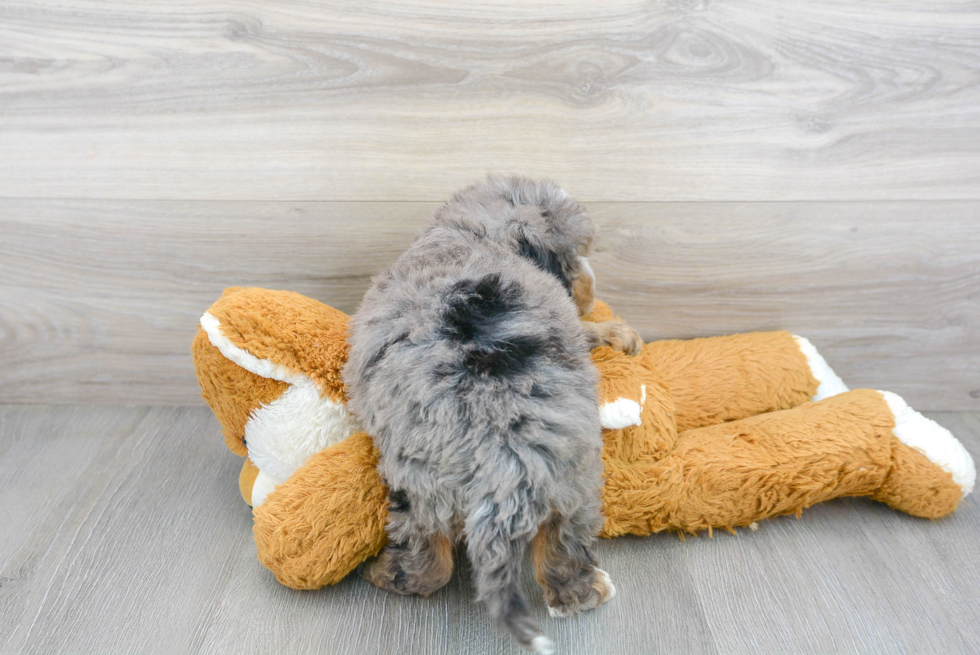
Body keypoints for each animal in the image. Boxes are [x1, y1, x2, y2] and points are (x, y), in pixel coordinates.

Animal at [344, 177, 644, 652]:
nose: (591, 284)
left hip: (417, 481)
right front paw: (615, 331)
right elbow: (583, 329)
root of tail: (505, 449)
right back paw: (583, 592)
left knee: (429, 561)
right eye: (573, 258)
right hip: (570, 476)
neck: (477, 234)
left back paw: (382, 573)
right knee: (558, 541)